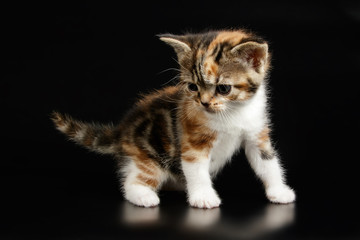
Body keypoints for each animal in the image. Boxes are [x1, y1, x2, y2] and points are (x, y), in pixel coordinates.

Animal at [52, 28, 296, 208]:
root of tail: (122, 131)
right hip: (147, 156)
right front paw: (203, 197)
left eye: (223, 88)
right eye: (192, 87)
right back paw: (144, 196)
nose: (204, 103)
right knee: (134, 180)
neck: (233, 112)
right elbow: (197, 169)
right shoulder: (193, 140)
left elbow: (268, 163)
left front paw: (279, 191)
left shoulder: (256, 133)